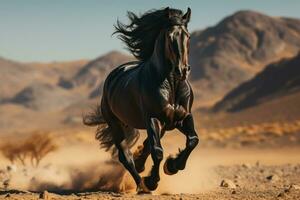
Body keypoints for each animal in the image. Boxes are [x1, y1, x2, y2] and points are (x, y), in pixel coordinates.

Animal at [82, 7, 199, 193]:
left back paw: (141, 166)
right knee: (125, 156)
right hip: (116, 123)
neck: (171, 86)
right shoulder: (153, 118)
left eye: (188, 36)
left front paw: (172, 166)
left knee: (144, 147)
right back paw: (142, 184)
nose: (182, 70)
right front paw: (152, 181)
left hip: (163, 126)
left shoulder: (183, 117)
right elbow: (157, 151)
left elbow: (193, 140)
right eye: (169, 36)